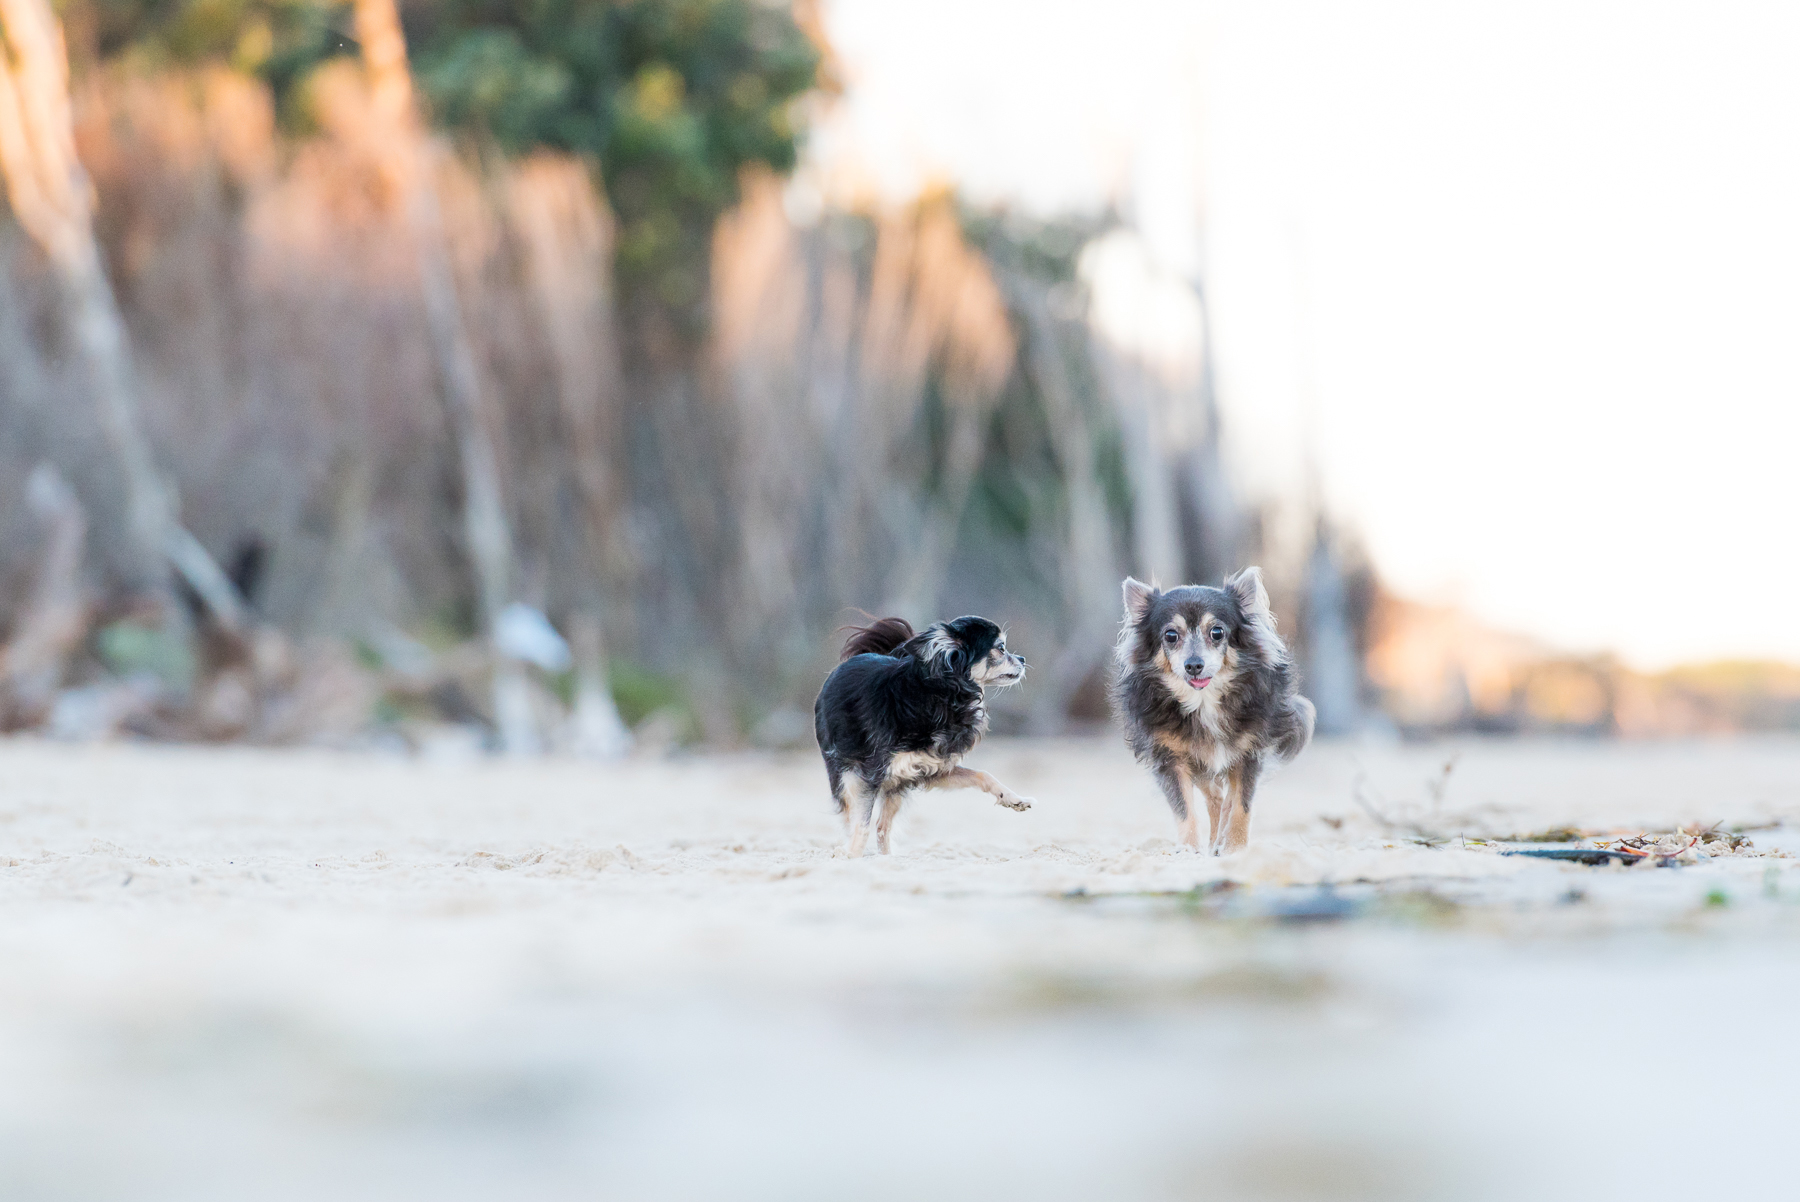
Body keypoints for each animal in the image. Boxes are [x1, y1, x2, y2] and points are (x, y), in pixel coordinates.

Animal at [813, 618, 1029, 852]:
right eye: (1001, 648)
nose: (1023, 659)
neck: (940, 693)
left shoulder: (929, 769)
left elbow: (983, 774)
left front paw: (1013, 798)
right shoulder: (869, 775)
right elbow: (860, 825)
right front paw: (852, 855)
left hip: (896, 786)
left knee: (882, 827)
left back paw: (886, 857)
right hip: (844, 772)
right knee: (852, 817)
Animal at [1101, 565, 1317, 852]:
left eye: (1217, 632)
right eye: (1171, 635)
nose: (1194, 665)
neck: (1203, 701)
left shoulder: (1249, 752)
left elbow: (1241, 805)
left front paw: (1235, 847)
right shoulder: (1171, 757)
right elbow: (1184, 809)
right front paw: (1188, 848)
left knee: (1227, 798)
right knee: (1214, 797)